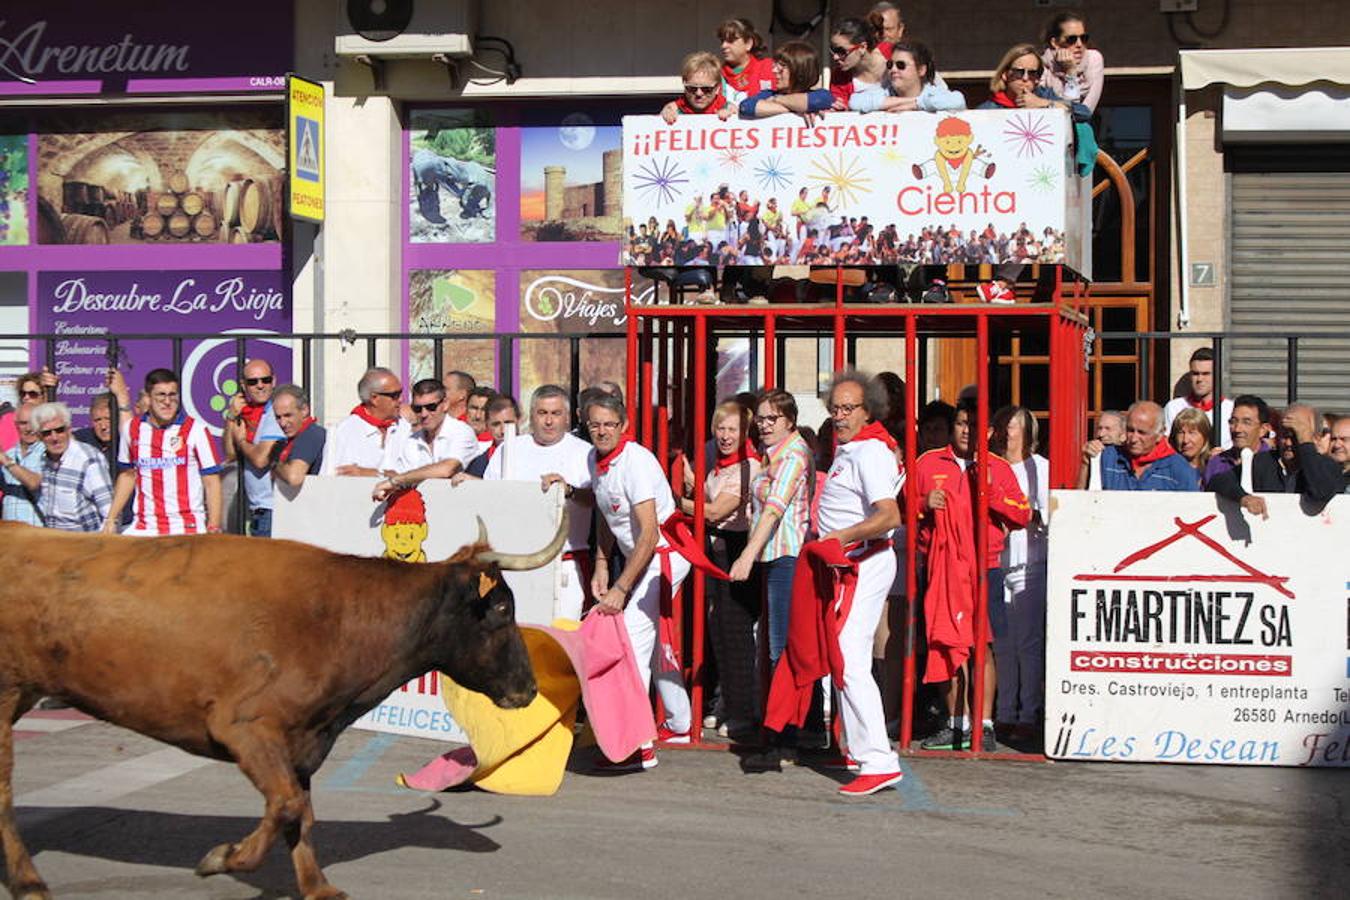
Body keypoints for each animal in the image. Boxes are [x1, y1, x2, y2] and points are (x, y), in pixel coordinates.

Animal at [0, 518, 558, 900]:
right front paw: (222, 858)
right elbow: (287, 804)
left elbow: (301, 815)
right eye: (502, 608)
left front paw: (318, 887)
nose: (527, 689)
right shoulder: (247, 728)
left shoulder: (302, 742)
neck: (339, 618)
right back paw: (29, 881)